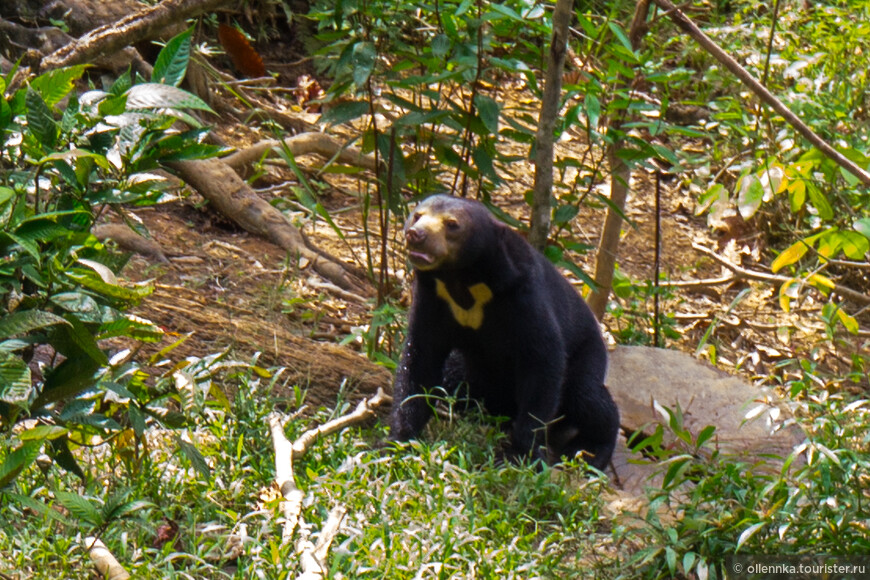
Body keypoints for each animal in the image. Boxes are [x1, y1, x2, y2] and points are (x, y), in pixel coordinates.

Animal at [392, 195, 624, 472]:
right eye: (417, 215)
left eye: (452, 224)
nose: (416, 234)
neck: (463, 281)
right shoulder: (432, 296)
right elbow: (420, 359)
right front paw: (398, 439)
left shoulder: (523, 296)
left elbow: (542, 362)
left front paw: (520, 454)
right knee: (453, 376)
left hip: (588, 351)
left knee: (587, 396)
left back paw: (590, 451)